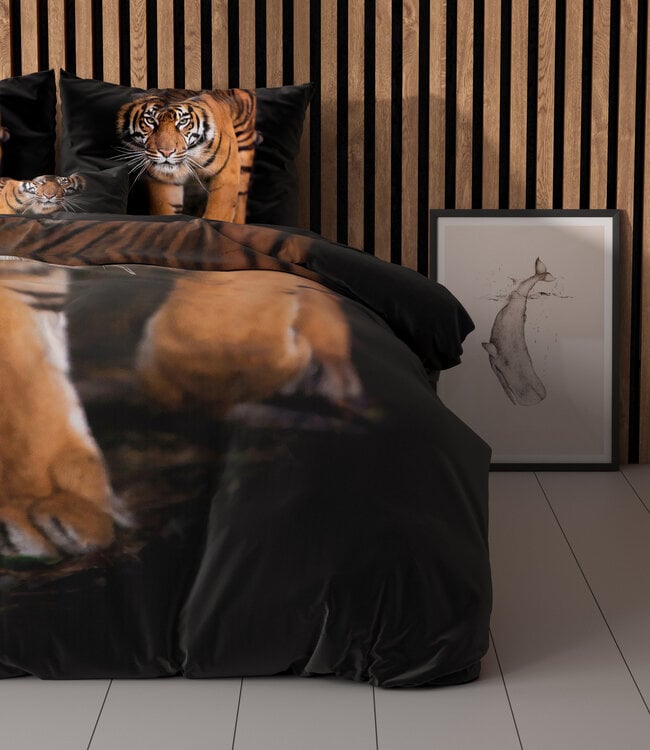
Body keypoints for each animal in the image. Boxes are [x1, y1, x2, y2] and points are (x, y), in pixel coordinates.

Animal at [116, 88, 258, 223]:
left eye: (183, 121)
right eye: (150, 120)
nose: (166, 152)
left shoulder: (227, 172)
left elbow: (218, 214)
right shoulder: (164, 180)